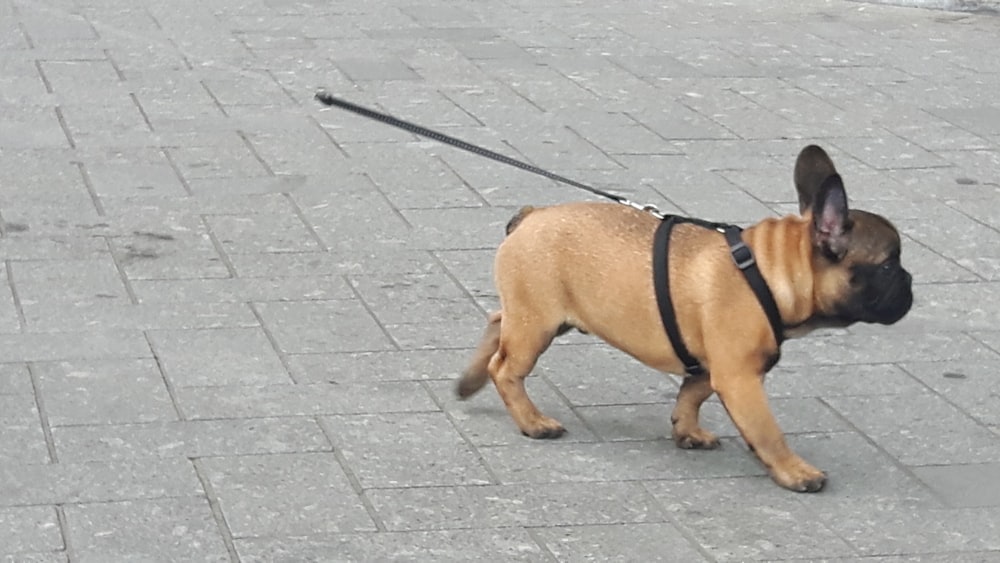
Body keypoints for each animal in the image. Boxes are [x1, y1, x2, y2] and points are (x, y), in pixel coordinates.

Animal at [460, 145, 916, 494]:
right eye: (888, 265)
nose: (911, 282)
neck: (769, 273)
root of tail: (530, 215)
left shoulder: (713, 367)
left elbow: (692, 396)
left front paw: (687, 431)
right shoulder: (739, 378)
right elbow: (767, 431)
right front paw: (794, 470)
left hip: (535, 315)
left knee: (497, 322)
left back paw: (469, 380)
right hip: (537, 323)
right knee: (507, 368)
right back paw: (533, 422)